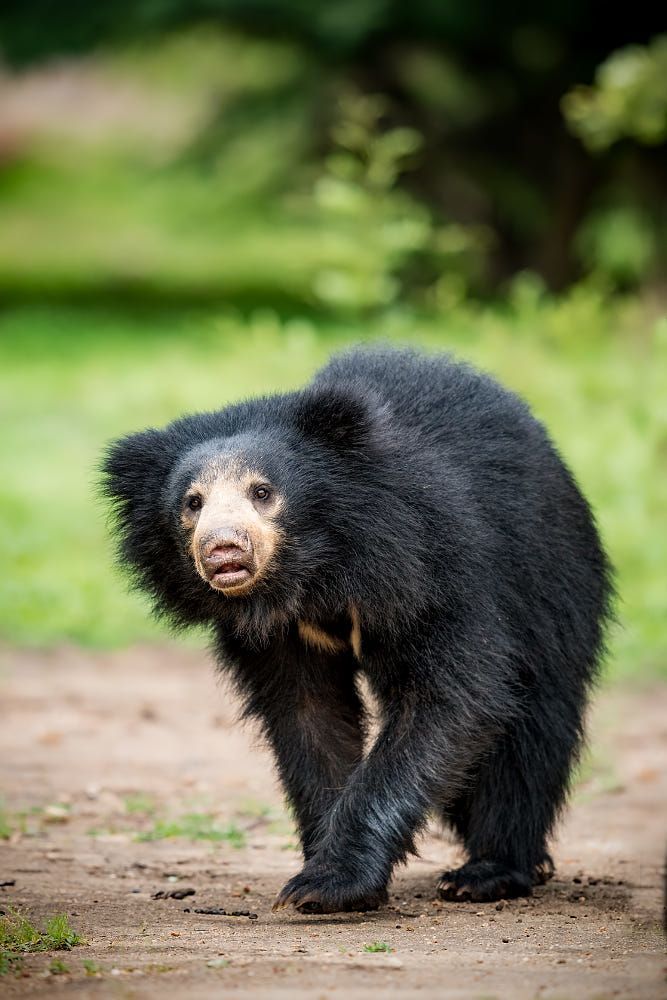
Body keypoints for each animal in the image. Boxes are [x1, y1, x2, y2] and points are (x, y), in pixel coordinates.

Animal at [102, 346, 612, 916]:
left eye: (263, 492)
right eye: (193, 503)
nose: (223, 548)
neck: (318, 572)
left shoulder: (431, 567)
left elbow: (448, 700)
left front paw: (329, 883)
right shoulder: (277, 635)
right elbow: (309, 719)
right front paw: (321, 869)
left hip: (551, 582)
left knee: (531, 733)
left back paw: (490, 871)